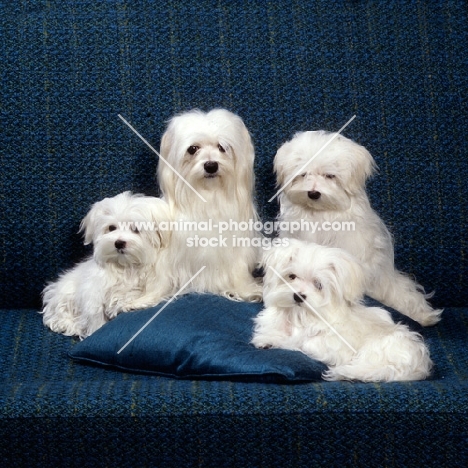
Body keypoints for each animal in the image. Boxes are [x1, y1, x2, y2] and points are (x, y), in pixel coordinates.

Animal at [40, 192, 174, 338]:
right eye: (111, 228)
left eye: (136, 229)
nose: (119, 243)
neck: (124, 266)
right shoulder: (93, 293)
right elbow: (95, 315)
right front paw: (95, 330)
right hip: (65, 294)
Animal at [250, 239, 434, 382]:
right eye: (292, 276)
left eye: (318, 285)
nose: (298, 296)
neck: (299, 314)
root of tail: (419, 364)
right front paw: (269, 338)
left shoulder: (330, 347)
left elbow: (301, 341)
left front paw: (273, 340)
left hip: (377, 350)